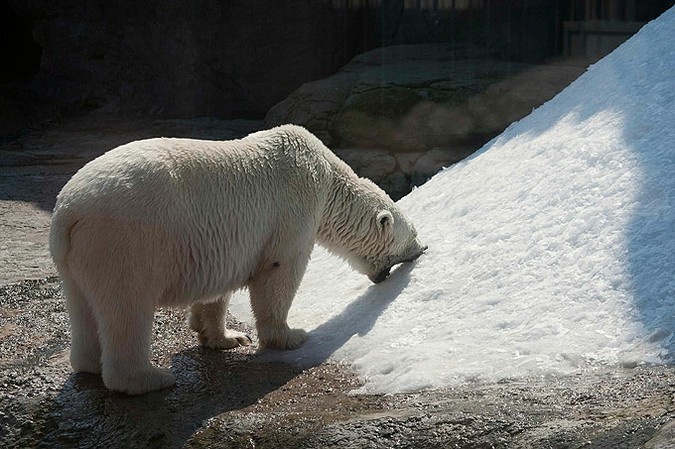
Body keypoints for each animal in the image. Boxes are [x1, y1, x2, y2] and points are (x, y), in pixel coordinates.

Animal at [50, 124, 426, 394]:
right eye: (413, 233)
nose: (422, 250)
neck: (328, 178)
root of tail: (68, 211)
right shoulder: (293, 207)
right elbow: (280, 269)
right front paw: (290, 335)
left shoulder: (223, 241)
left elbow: (217, 287)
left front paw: (226, 337)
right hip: (125, 241)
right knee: (128, 306)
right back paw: (149, 378)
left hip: (76, 258)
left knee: (83, 306)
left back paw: (89, 363)